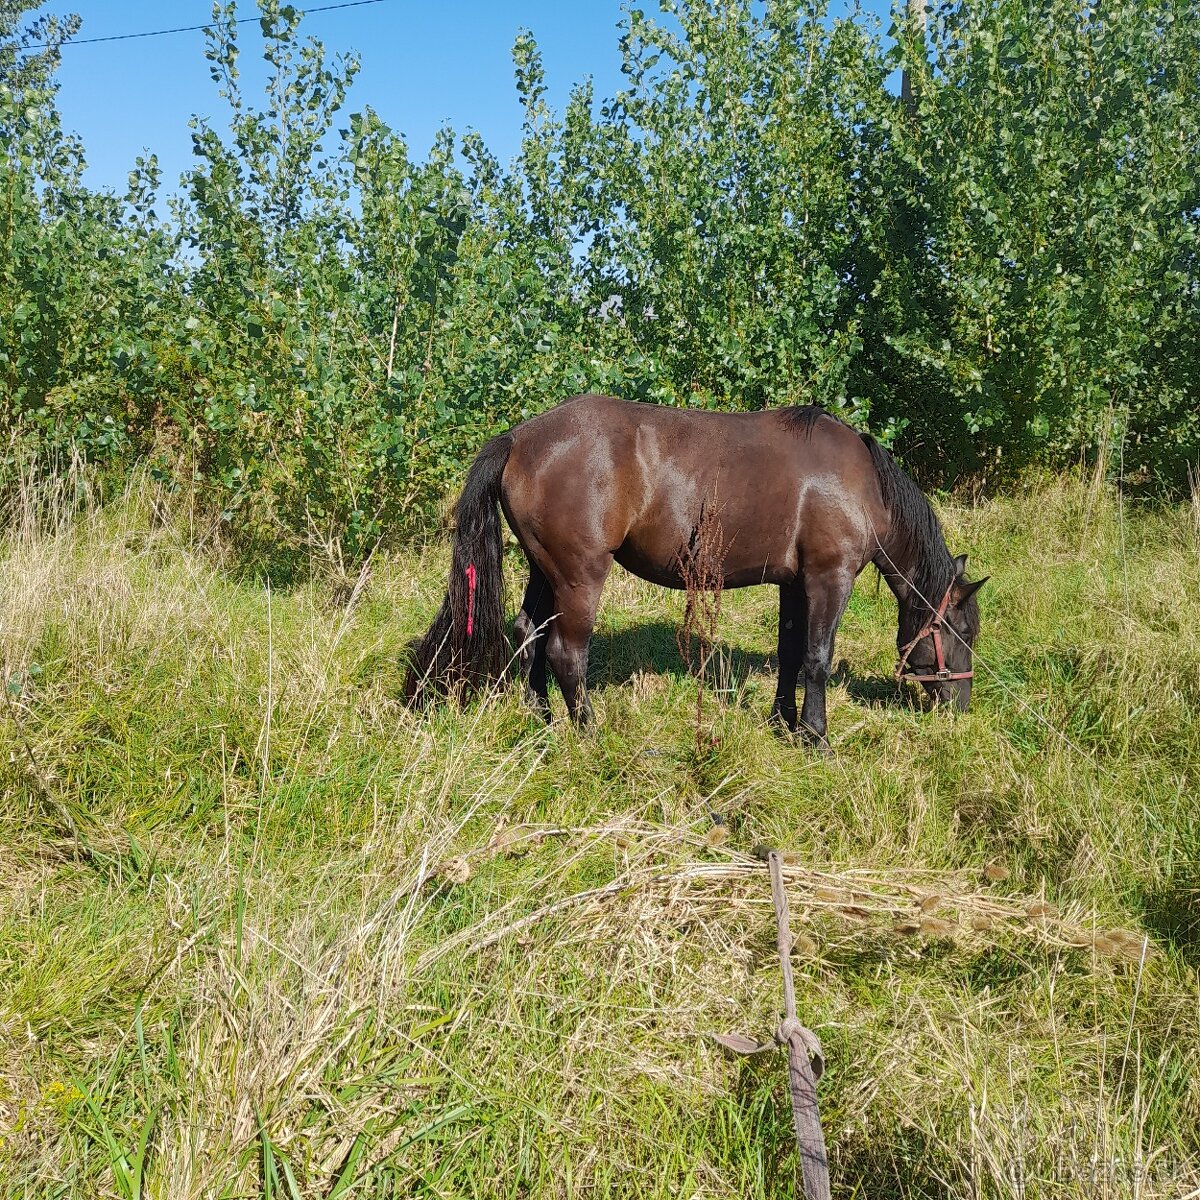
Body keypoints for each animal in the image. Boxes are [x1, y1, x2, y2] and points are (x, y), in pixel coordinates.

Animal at [403, 393, 984, 739]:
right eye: (962, 630)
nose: (961, 705)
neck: (861, 485)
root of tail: (519, 438)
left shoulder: (793, 584)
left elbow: (791, 653)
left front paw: (782, 721)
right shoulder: (829, 577)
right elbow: (817, 657)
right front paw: (815, 736)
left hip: (543, 569)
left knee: (529, 633)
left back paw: (544, 721)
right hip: (579, 575)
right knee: (566, 652)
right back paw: (588, 732)